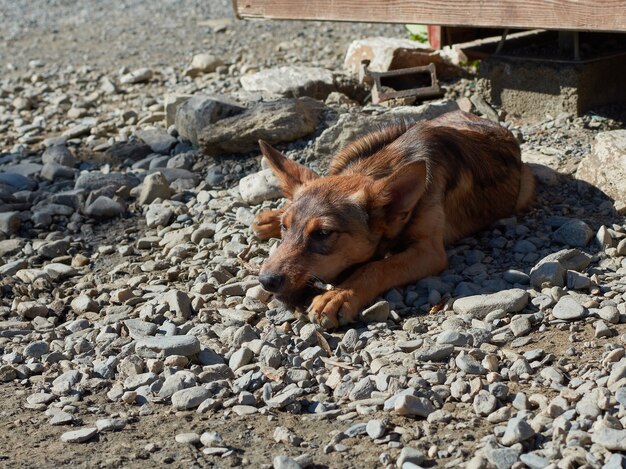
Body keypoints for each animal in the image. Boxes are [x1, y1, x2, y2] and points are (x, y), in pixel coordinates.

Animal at [251, 109, 532, 330]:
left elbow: (376, 267)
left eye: (322, 233)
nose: (266, 281)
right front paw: (274, 219)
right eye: (285, 227)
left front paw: (339, 295)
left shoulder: (429, 252)